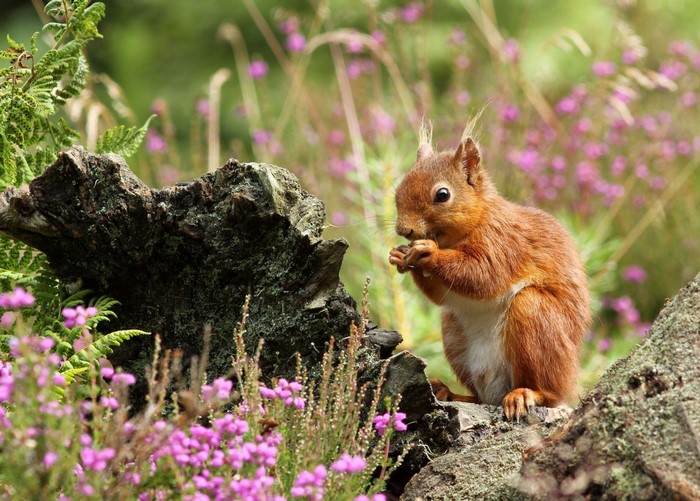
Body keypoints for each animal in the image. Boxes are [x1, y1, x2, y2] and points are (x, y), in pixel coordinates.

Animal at [388, 121, 590, 420]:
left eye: (442, 195)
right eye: (398, 191)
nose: (404, 229)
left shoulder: (504, 242)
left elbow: (482, 275)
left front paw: (428, 252)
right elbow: (442, 295)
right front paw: (398, 255)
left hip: (535, 314)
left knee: (549, 393)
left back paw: (525, 394)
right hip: (454, 335)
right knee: (478, 396)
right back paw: (450, 393)